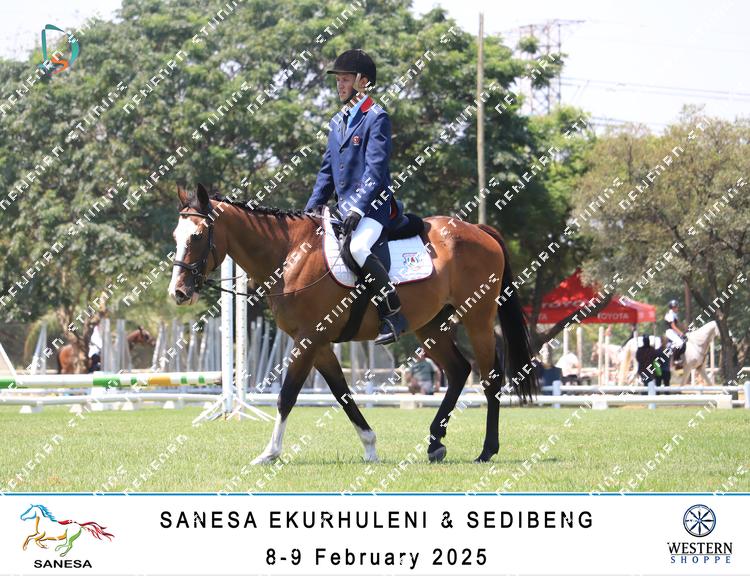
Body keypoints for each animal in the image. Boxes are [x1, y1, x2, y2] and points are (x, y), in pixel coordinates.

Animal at [168, 184, 538, 464]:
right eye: (175, 235)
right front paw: (370, 446)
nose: (178, 292)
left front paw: (270, 453)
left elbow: (287, 396)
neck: (290, 254)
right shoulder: (318, 344)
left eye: (197, 236)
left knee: (490, 378)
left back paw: (487, 451)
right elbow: (342, 394)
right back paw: (435, 443)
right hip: (429, 325)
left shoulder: (308, 339)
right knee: (459, 370)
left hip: (477, 319)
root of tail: (477, 230)